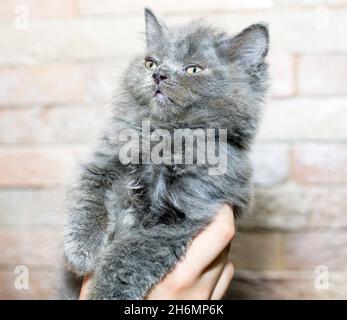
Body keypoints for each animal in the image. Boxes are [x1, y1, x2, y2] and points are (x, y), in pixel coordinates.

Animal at [62, 8, 270, 300]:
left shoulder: (181, 217)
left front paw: (104, 292)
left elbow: (126, 256)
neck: (160, 138)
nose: (159, 74)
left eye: (193, 69)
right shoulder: (104, 163)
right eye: (151, 63)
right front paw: (82, 250)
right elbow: (89, 200)